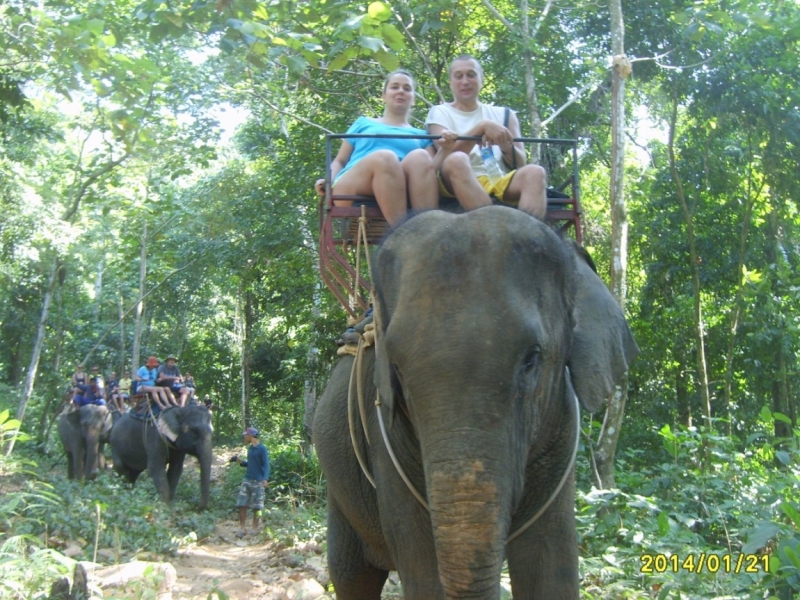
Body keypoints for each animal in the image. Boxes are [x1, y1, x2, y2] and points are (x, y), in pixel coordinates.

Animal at [314, 207, 644, 600]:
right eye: (396, 368)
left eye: (532, 358)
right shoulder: (384, 434)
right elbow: (423, 566)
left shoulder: (562, 431)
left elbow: (550, 560)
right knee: (352, 573)